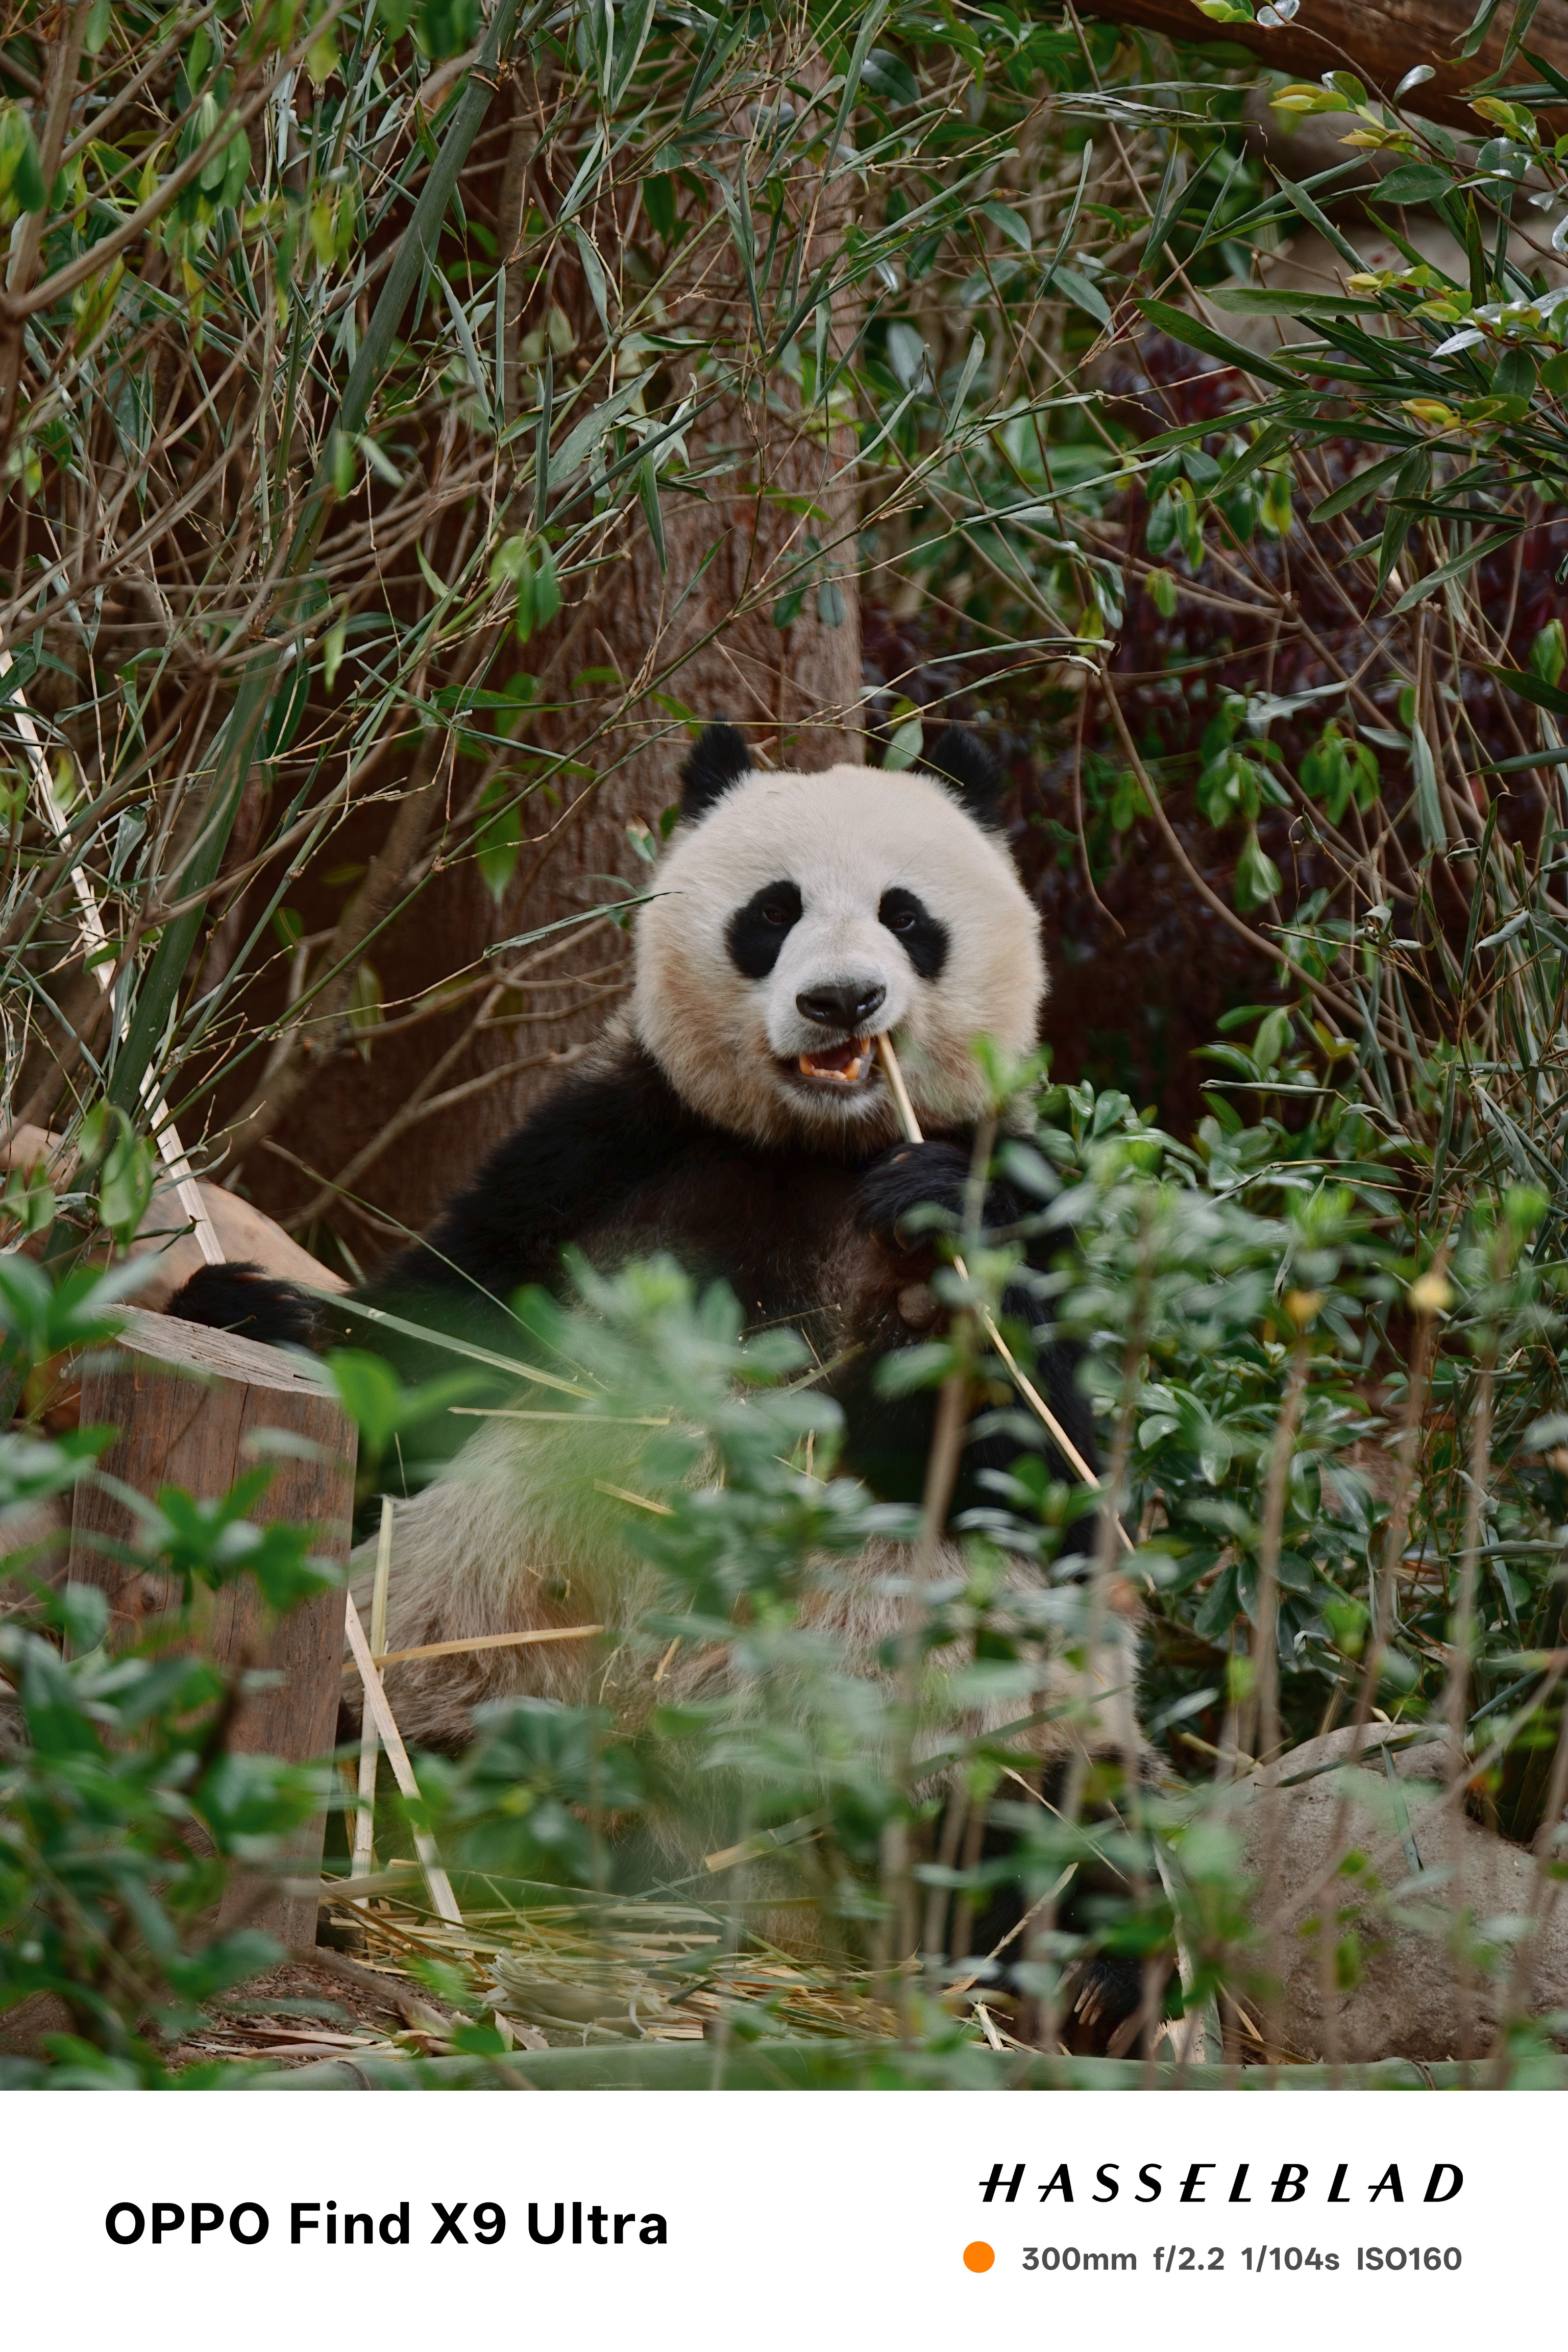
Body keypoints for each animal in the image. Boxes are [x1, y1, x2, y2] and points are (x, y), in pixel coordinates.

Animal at [171, 723, 1147, 2031]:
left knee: (1046, 1817)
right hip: (466, 1667)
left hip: (970, 1728)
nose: (843, 998)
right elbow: (437, 1337)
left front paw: (933, 1245)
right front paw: (247, 1308)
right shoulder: (603, 1152)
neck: (812, 1152)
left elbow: (1045, 1467)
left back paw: (1090, 1976)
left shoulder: (1021, 1190)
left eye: (907, 916)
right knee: (373, 1729)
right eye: (772, 913)